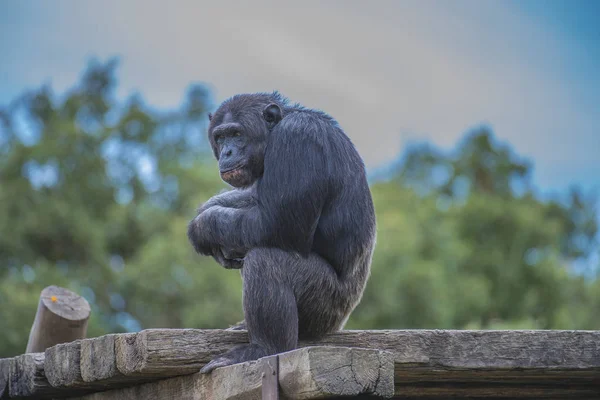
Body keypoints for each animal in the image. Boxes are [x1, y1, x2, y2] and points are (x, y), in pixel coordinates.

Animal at [188, 92, 376, 374]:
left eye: (237, 133)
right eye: (220, 137)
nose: (227, 151)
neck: (274, 132)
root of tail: (338, 325)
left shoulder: (298, 139)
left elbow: (277, 223)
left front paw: (203, 226)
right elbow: (255, 199)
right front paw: (206, 211)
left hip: (325, 306)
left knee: (266, 261)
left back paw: (263, 349)